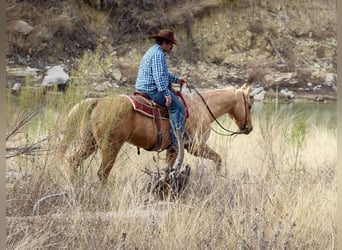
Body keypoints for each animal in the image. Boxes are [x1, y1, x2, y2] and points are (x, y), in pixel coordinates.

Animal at [57, 84, 252, 184]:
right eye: (249, 105)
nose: (249, 128)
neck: (201, 107)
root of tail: (98, 101)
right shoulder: (195, 146)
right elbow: (218, 159)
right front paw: (217, 178)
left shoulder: (173, 149)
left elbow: (170, 169)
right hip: (110, 146)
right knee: (103, 173)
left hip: (90, 144)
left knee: (73, 161)